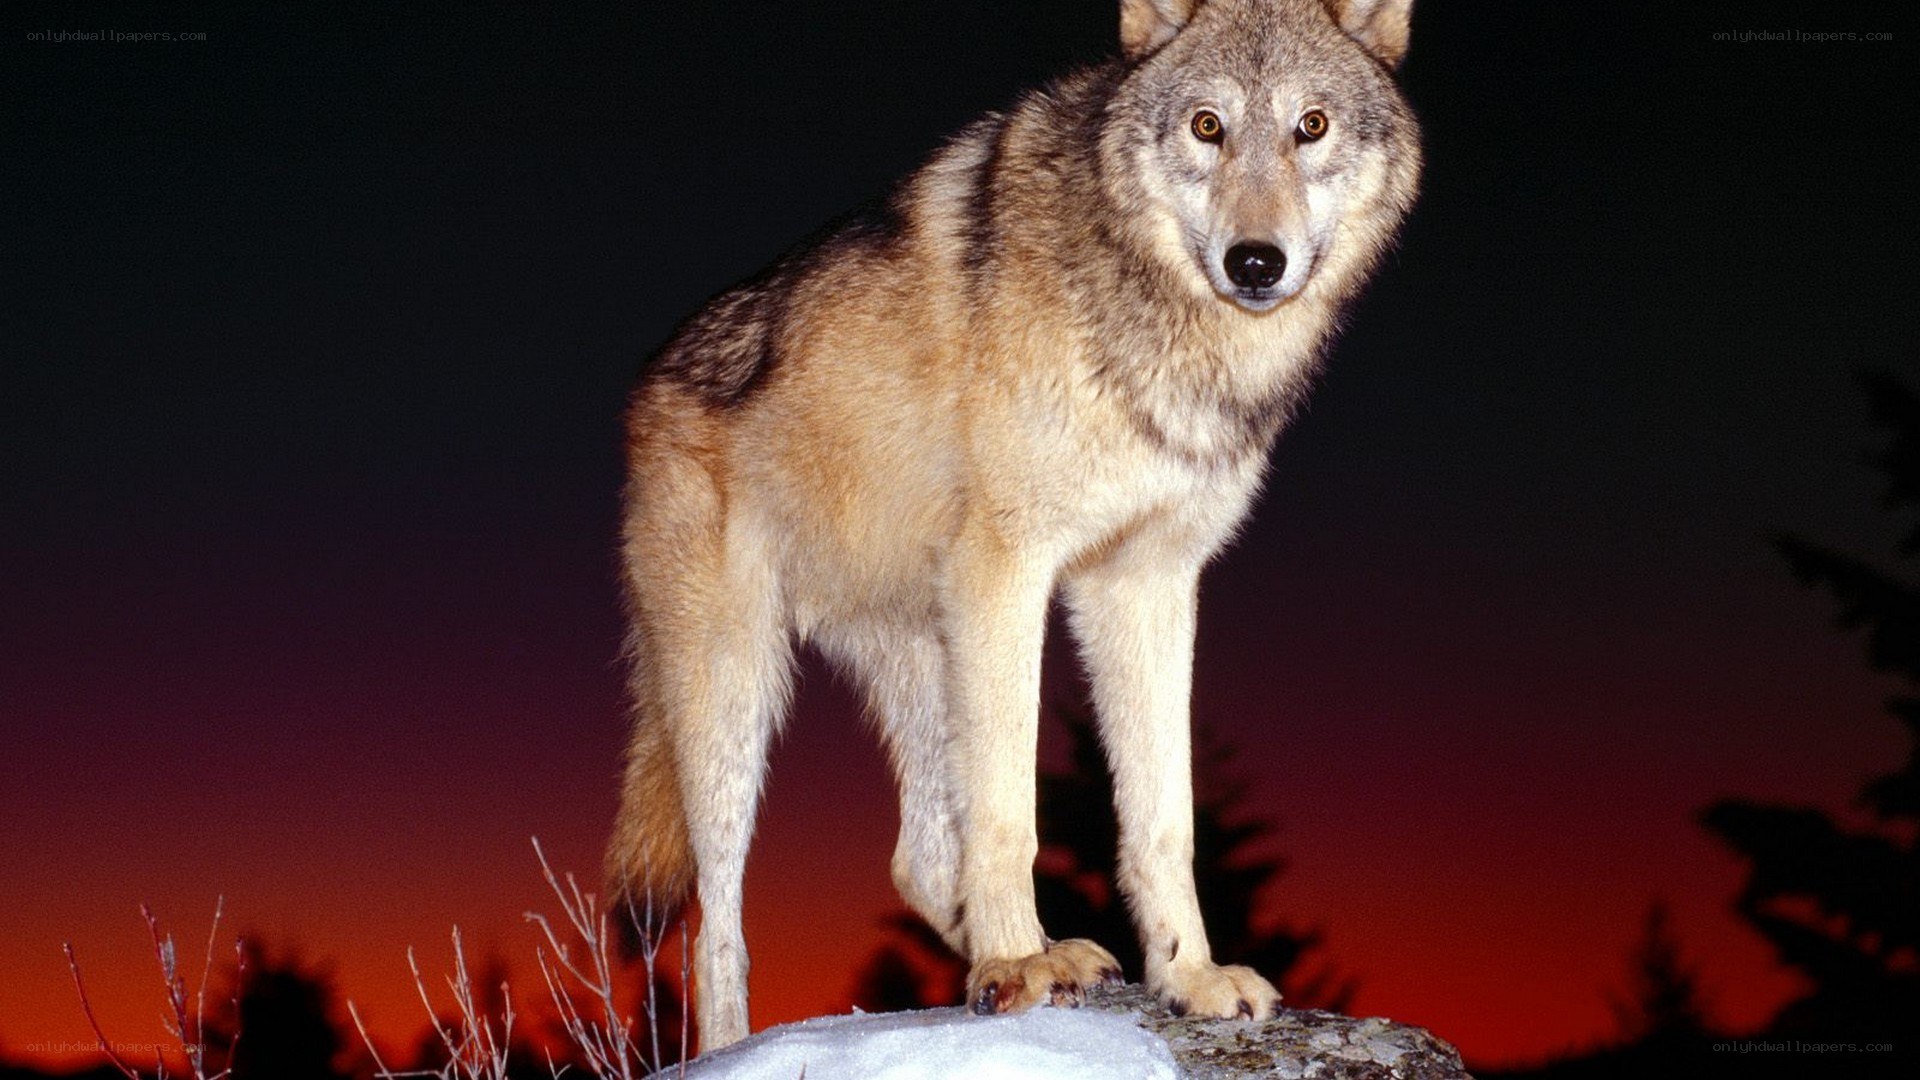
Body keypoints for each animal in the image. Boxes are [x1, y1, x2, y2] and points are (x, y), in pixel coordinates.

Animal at [607, 0, 1421, 1051]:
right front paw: (1013, 964)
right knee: (718, 926)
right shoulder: (1010, 569)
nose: (1255, 263)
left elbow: (1163, 818)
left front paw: (1185, 976)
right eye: (1208, 126)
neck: (1148, 313)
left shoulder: (1147, 584)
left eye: (1310, 126)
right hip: (734, 691)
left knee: (916, 858)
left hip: (924, 654)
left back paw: (1046, 960)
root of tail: (646, 388)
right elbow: (1008, 811)